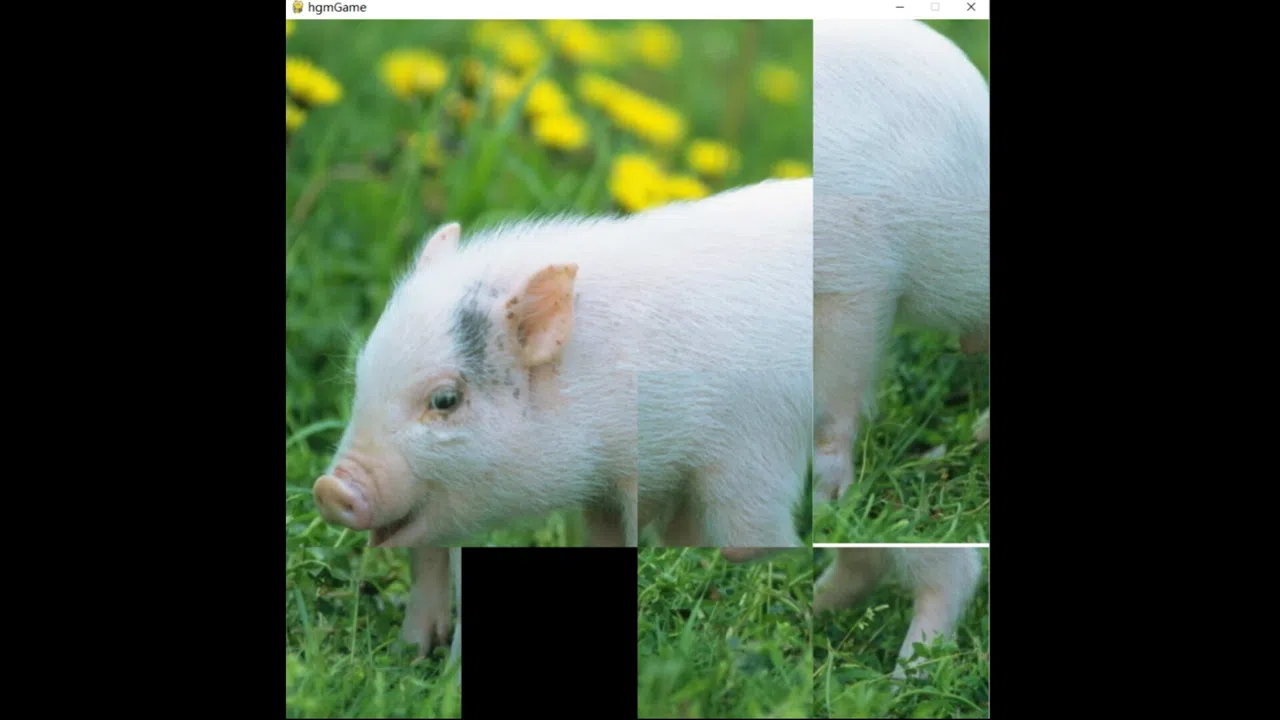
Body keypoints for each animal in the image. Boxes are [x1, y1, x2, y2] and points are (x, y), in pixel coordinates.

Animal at [311, 177, 814, 553]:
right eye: (360, 378)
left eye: (446, 399)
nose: (329, 490)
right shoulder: (614, 494)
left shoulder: (755, 449)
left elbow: (753, 530)